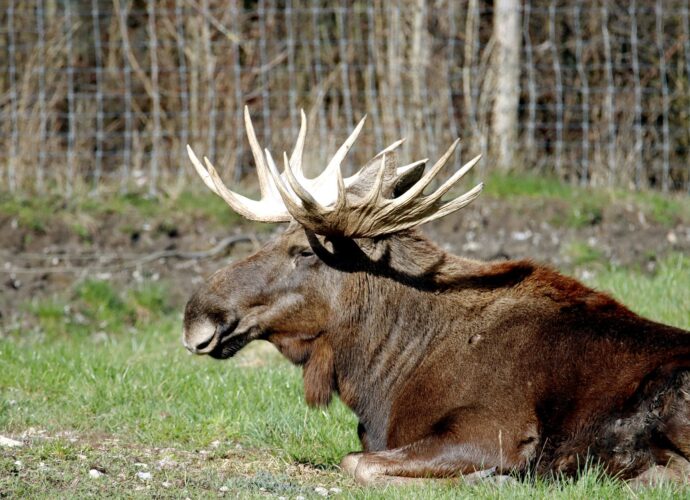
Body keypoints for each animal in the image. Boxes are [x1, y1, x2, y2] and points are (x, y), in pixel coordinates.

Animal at [182, 107, 690, 487]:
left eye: (304, 251)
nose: (196, 315)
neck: (380, 372)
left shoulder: (496, 427)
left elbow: (358, 464)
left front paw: (494, 477)